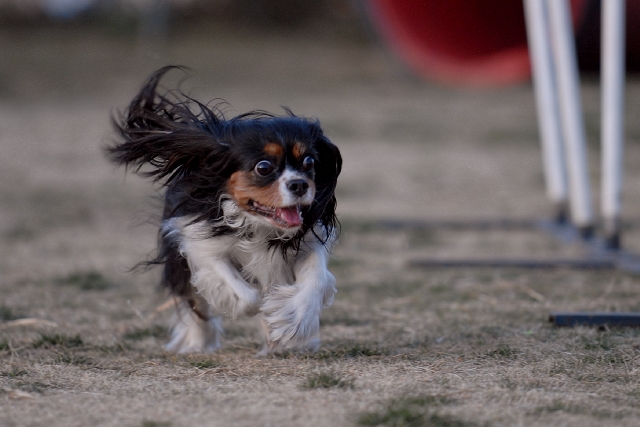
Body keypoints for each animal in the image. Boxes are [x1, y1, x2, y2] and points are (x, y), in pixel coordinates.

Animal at [107, 67, 342, 354]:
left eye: (309, 162)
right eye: (263, 167)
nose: (299, 184)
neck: (259, 225)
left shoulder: (307, 242)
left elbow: (315, 280)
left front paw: (291, 322)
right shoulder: (199, 244)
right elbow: (246, 296)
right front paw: (263, 313)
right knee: (193, 304)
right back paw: (198, 342)